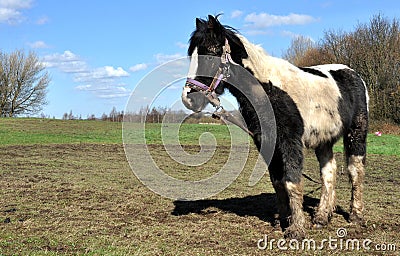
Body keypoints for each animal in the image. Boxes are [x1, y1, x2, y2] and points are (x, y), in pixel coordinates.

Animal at [181, 15, 368, 239]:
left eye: (210, 55)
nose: (188, 99)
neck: (268, 89)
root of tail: (354, 74)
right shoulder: (266, 140)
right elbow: (277, 181)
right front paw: (284, 219)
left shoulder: (290, 141)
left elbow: (291, 181)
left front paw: (296, 229)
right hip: (324, 140)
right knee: (329, 171)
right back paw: (322, 217)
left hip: (356, 133)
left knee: (355, 170)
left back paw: (356, 216)